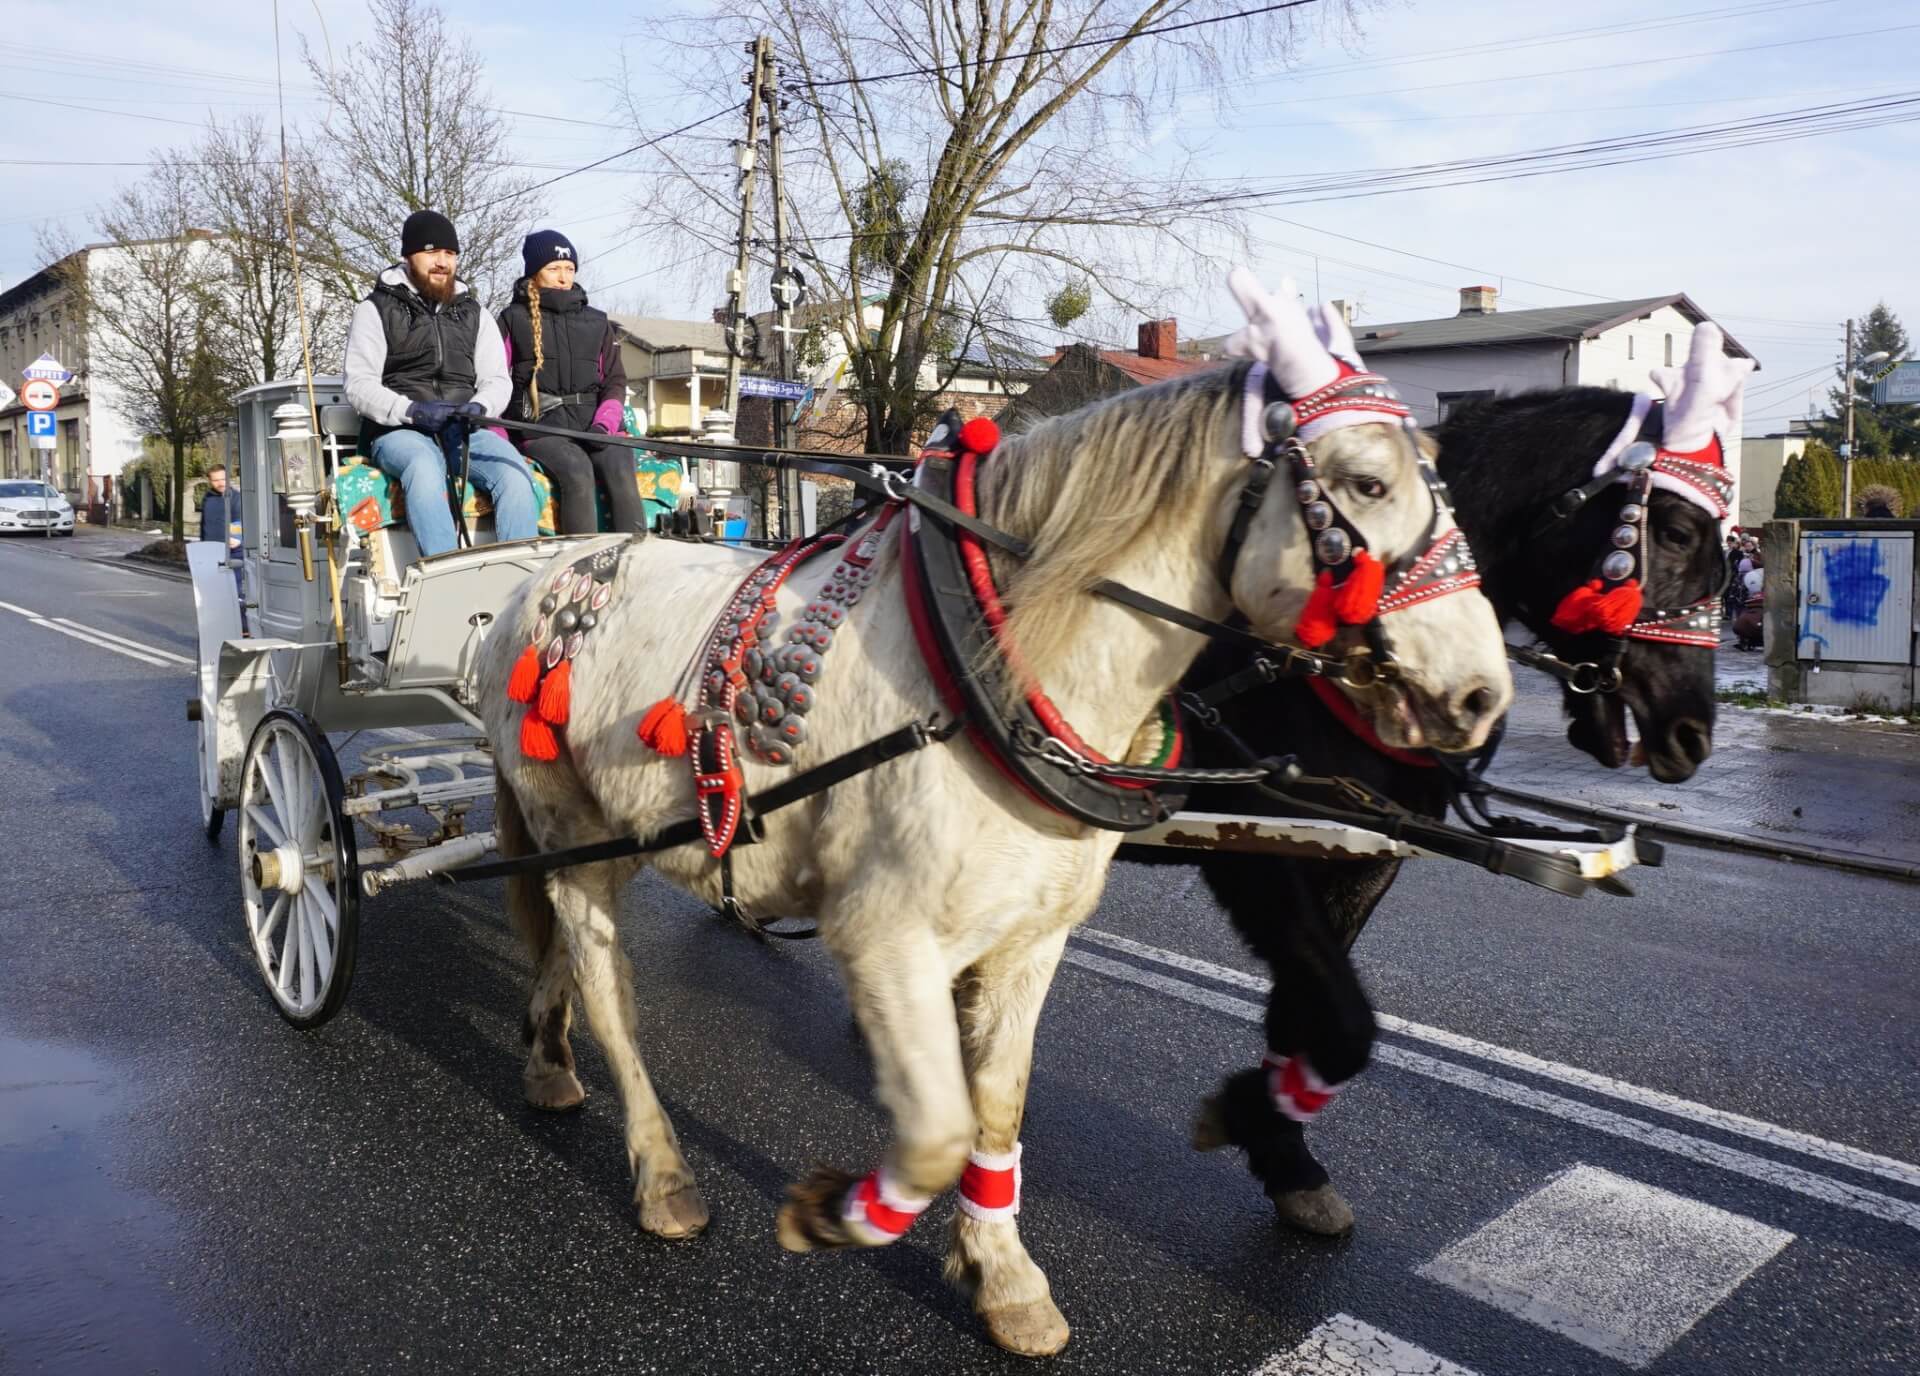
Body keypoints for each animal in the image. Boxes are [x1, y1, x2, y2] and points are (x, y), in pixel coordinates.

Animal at [480, 270, 1512, 1351]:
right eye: (1366, 484)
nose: (1483, 694)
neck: (982, 675)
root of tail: (537, 585)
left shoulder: (1030, 938)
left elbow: (998, 1109)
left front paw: (1004, 1274)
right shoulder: (884, 933)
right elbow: (936, 1132)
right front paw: (843, 1214)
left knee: (563, 944)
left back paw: (548, 1058)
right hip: (573, 832)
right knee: (607, 985)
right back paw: (662, 1170)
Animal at [1152, 385, 1728, 1235]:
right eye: (1681, 533)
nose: (1693, 734)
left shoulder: (1356, 853)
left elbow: (1314, 1013)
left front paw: (1280, 1147)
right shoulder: (1255, 847)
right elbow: (1346, 1022)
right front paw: (1255, 1122)